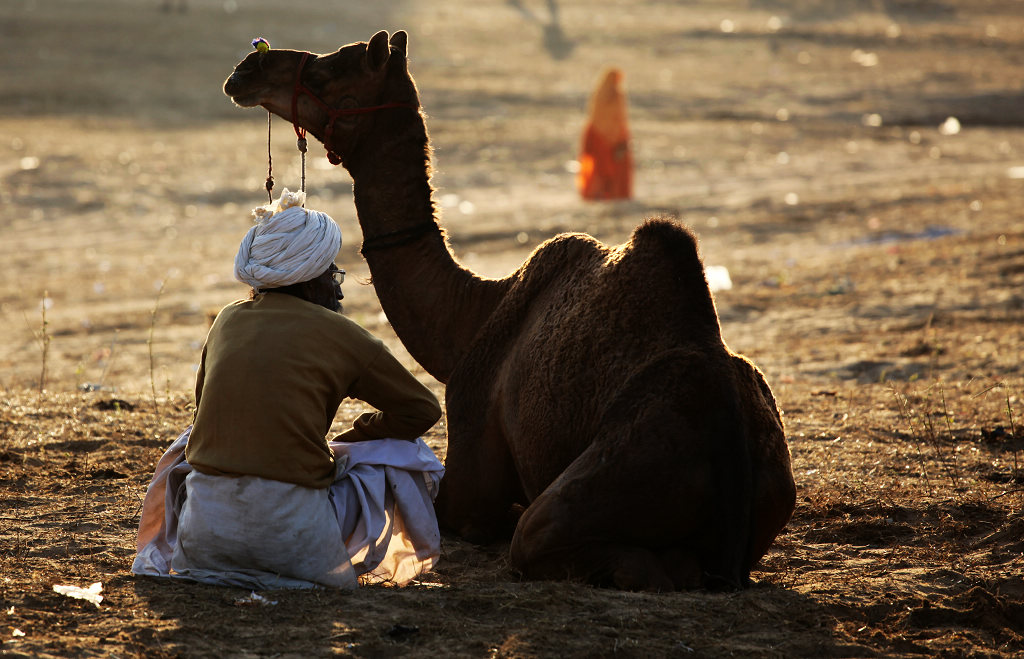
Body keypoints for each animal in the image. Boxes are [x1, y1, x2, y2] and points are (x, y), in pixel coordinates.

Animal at [226, 29, 798, 593]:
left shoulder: (472, 453)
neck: (474, 314)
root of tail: (729, 434)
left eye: (329, 72)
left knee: (560, 542)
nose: (246, 69)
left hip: (625, 467)